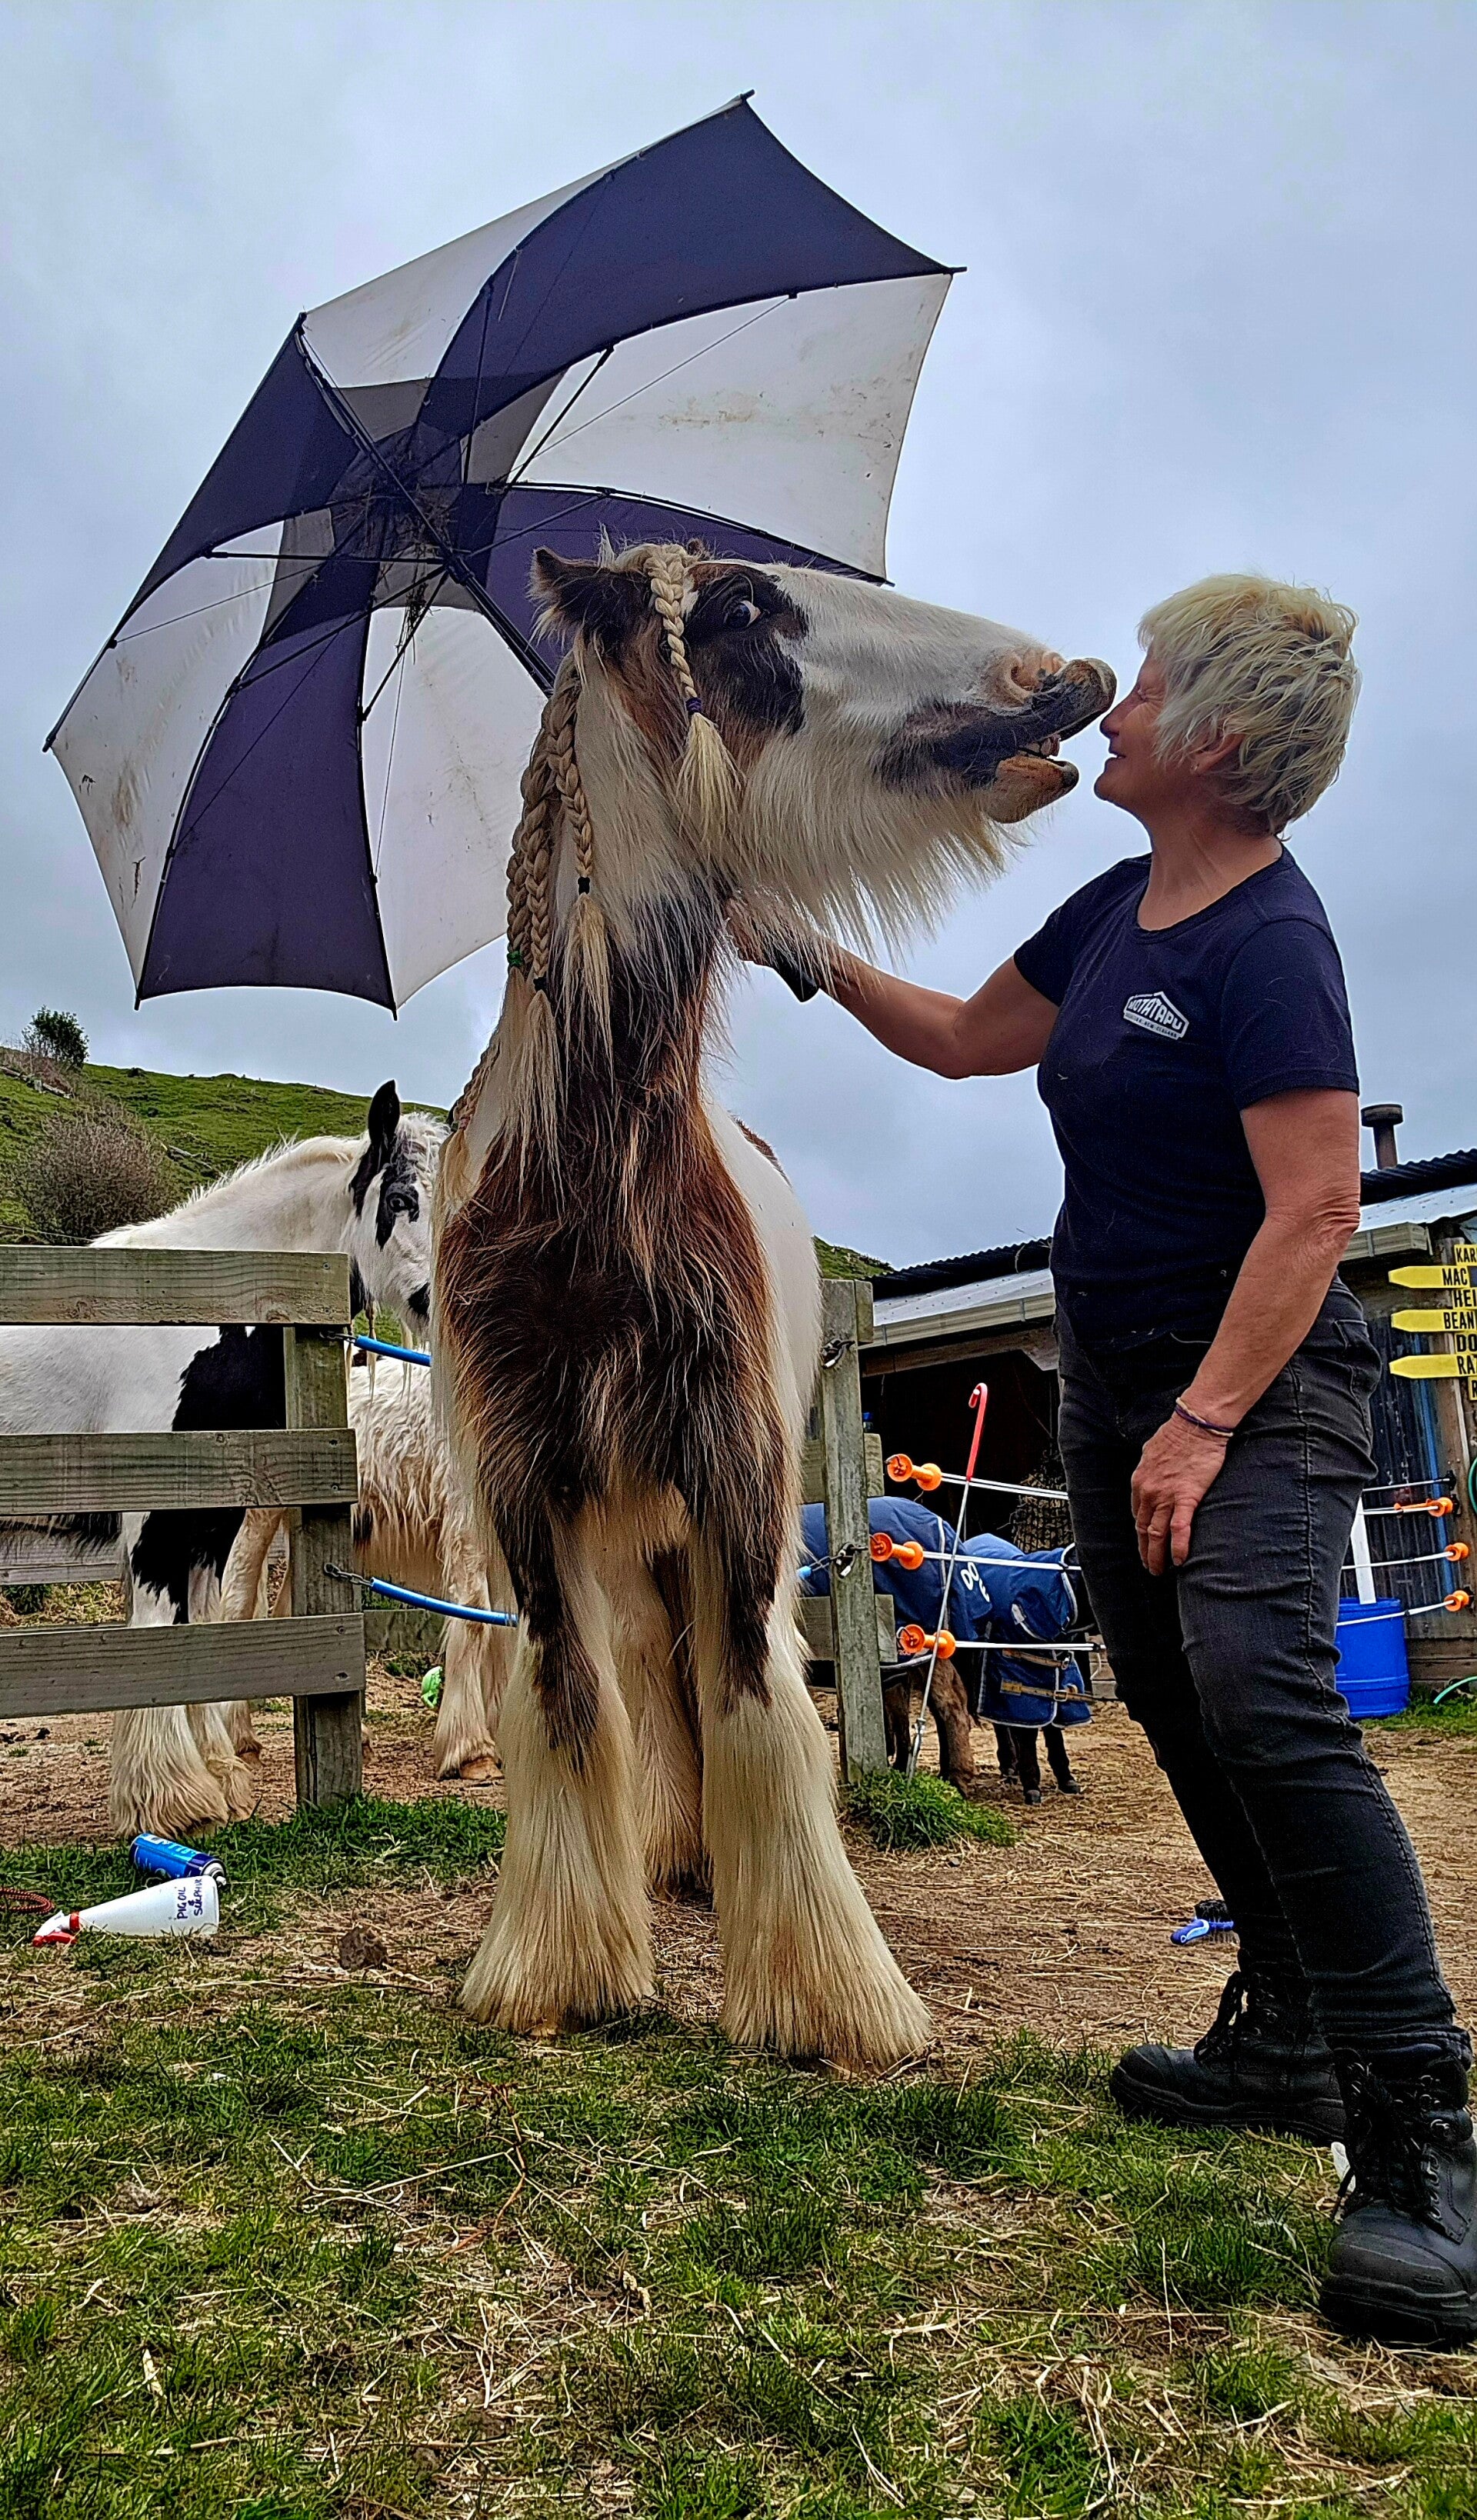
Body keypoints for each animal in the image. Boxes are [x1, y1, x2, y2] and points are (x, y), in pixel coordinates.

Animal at [435, 540, 1113, 2067]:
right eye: (742, 610)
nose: (1061, 678)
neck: (586, 1187)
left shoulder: (736, 1468)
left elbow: (756, 1700)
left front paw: (829, 1997)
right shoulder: (525, 1485)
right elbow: (570, 1698)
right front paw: (560, 1969)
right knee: (646, 1673)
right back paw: (675, 1861)